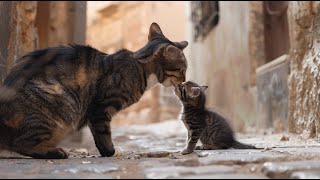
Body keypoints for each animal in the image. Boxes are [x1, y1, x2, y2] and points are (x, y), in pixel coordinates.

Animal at [0, 22, 188, 159]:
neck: (139, 67)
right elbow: (103, 134)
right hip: (61, 102)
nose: (185, 80)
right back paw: (55, 151)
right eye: (182, 70)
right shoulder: (100, 108)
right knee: (21, 143)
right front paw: (111, 152)